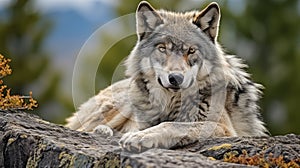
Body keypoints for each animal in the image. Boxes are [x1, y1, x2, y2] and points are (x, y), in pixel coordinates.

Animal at [66, 0, 270, 152]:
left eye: (191, 51)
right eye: (163, 48)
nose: (176, 78)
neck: (171, 103)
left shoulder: (224, 128)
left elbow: (172, 125)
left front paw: (141, 137)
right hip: (121, 104)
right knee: (80, 127)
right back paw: (102, 131)